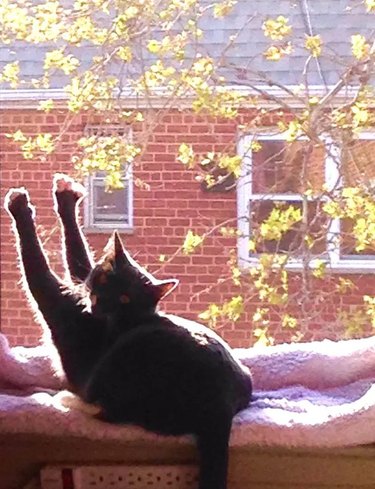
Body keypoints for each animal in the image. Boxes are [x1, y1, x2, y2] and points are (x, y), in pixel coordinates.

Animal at [4, 176, 253, 489]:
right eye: (103, 279)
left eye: (124, 298)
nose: (100, 302)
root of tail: (223, 404)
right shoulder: (82, 284)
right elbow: (78, 260)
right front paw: (67, 197)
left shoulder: (67, 312)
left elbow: (38, 271)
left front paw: (20, 206)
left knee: (109, 412)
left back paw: (67, 400)